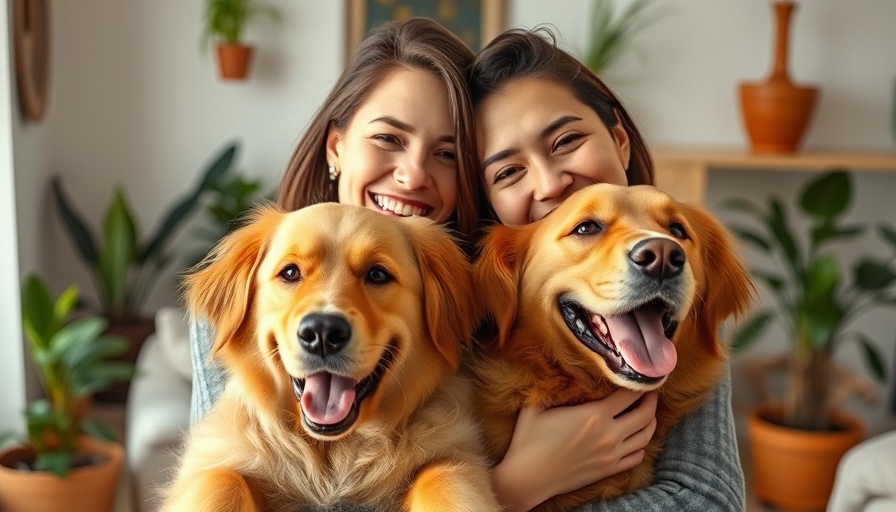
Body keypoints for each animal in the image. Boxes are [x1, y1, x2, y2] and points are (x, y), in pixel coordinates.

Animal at [164, 204, 500, 512]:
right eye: (290, 272)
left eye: (378, 274)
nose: (322, 332)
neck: (331, 456)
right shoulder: (219, 458)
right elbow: (223, 479)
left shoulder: (455, 455)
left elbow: (444, 477)